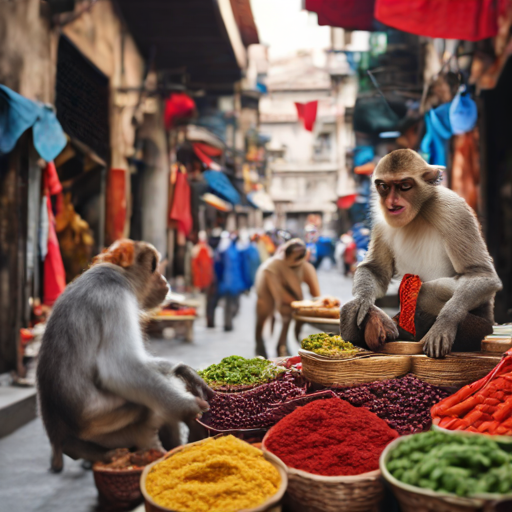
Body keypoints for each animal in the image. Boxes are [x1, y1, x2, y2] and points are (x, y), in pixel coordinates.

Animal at [37, 240, 211, 472]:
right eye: (154, 266)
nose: (164, 279)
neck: (118, 271)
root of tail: (59, 439)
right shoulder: (115, 295)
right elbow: (121, 368)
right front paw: (188, 407)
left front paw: (183, 370)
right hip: (102, 422)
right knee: (145, 407)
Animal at [338, 150, 502, 358]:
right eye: (384, 186)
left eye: (404, 186)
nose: (391, 202)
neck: (419, 211)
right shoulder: (381, 218)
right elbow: (375, 269)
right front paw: (360, 303)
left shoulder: (452, 209)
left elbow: (481, 273)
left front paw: (444, 322)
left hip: (484, 326)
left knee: (426, 289)